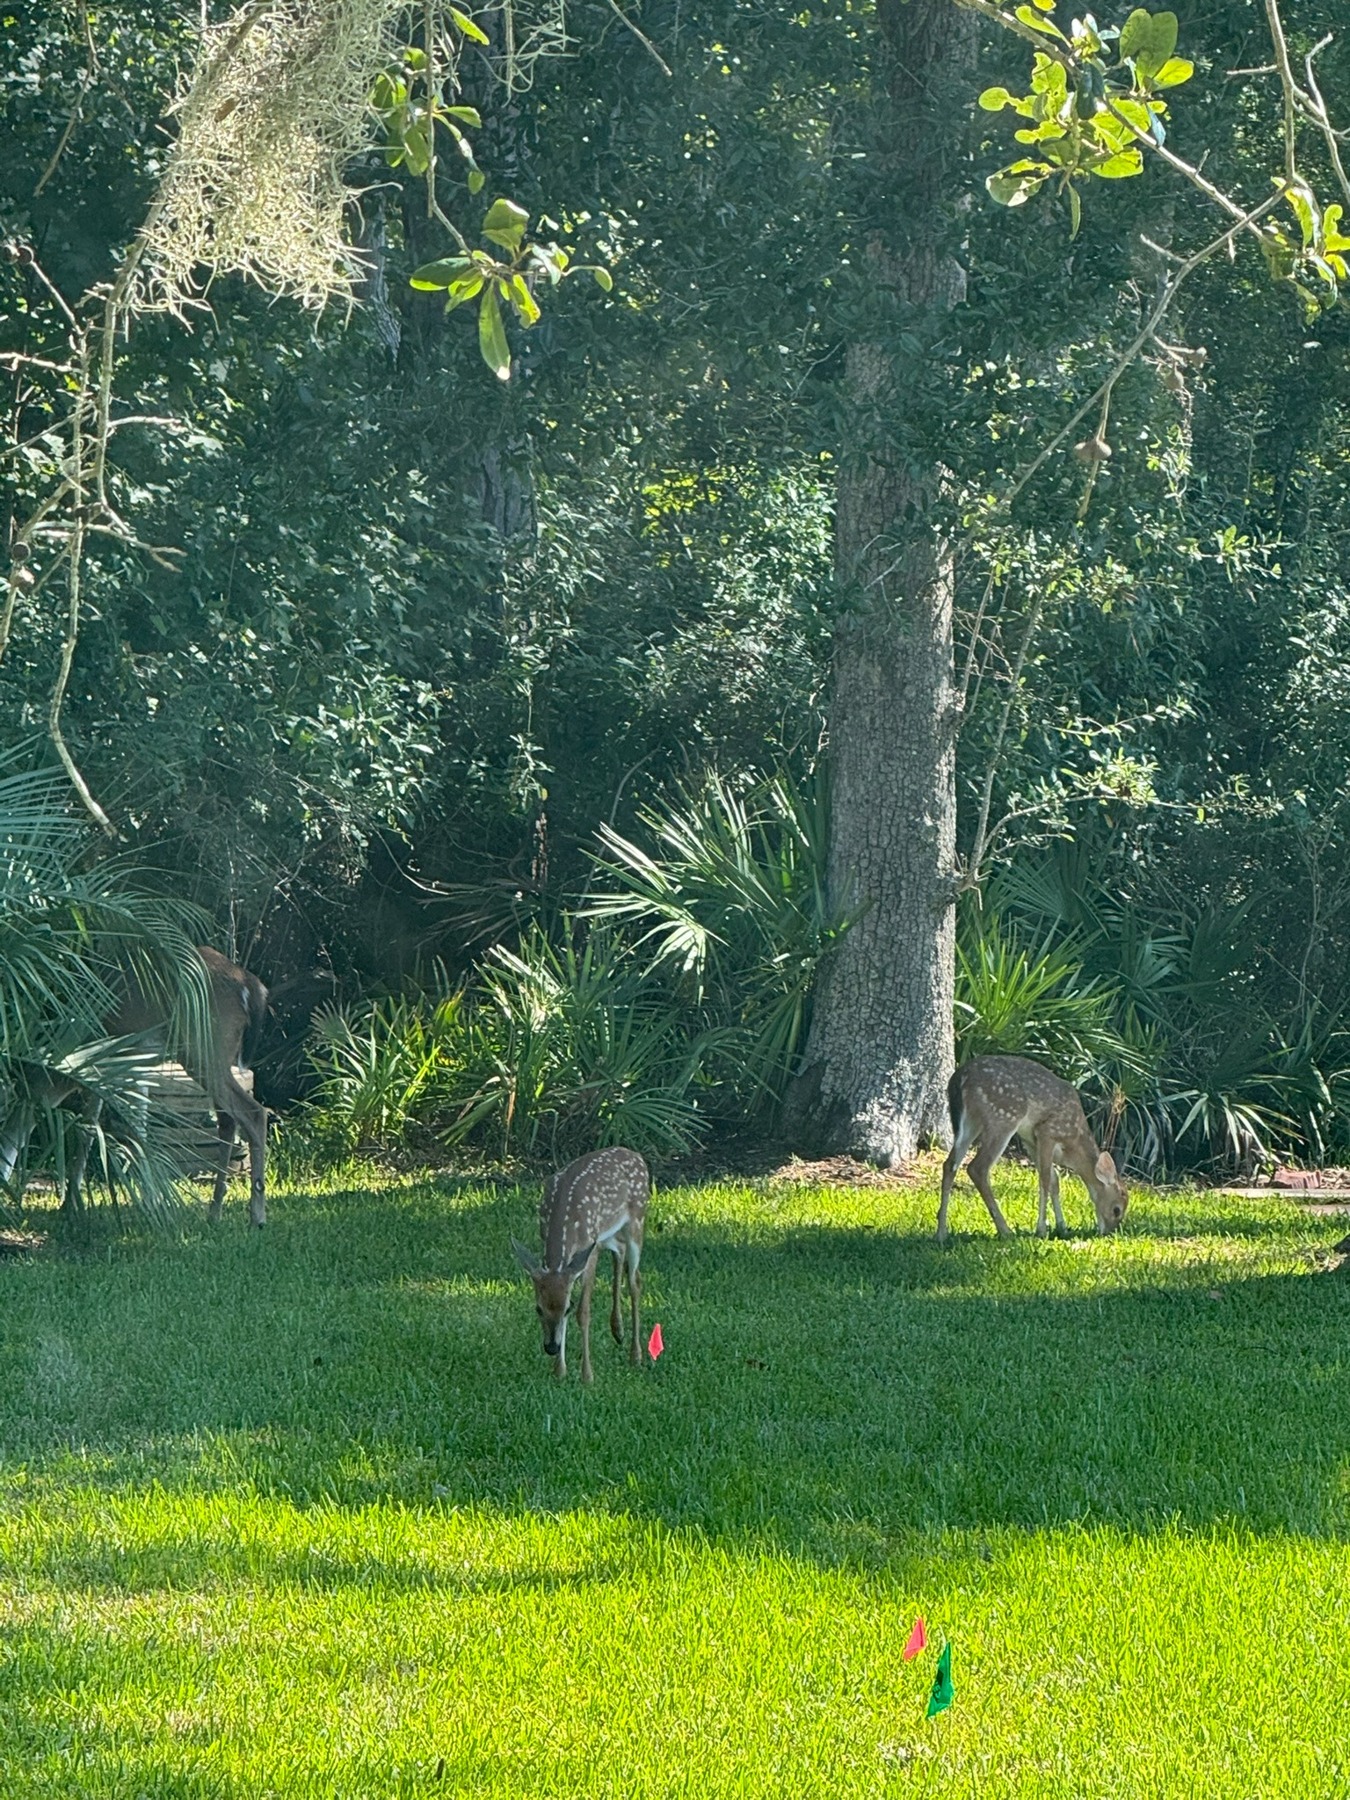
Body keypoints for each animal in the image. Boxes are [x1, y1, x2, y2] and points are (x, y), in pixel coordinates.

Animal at [0, 946, 270, 1227]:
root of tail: (252, 985)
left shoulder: (117, 1066)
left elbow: (124, 1130)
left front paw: (148, 1204)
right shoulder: (123, 1073)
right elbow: (100, 1129)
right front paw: (72, 1205)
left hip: (203, 1049)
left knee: (253, 1112)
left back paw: (257, 1216)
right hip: (220, 1054)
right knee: (228, 1121)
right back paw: (215, 1212)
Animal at [511, 1146, 649, 1383]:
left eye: (568, 1308)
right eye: (539, 1309)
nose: (551, 1347)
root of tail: (636, 1155)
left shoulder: (588, 1251)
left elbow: (584, 1312)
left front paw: (587, 1375)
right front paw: (559, 1371)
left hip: (636, 1220)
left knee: (635, 1281)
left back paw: (636, 1355)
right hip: (607, 1234)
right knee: (620, 1252)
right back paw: (618, 1331)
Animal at [937, 1054, 1128, 1244]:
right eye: (1117, 1210)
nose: (1108, 1232)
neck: (1073, 1147)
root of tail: (960, 1076)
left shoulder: (1031, 1141)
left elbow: (1054, 1180)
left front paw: (1062, 1227)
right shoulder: (1047, 1132)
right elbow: (1045, 1179)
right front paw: (1041, 1229)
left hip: (971, 1121)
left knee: (950, 1164)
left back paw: (941, 1232)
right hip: (1004, 1116)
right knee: (977, 1168)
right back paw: (1005, 1230)